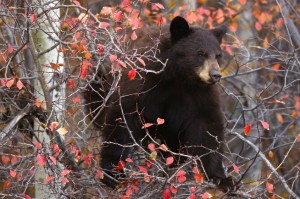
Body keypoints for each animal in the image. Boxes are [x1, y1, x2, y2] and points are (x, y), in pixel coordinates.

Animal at [85, 15, 229, 188]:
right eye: (201, 53)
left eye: (218, 55)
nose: (215, 75)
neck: (179, 77)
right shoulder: (145, 79)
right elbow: (123, 116)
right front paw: (112, 172)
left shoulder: (201, 94)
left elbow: (208, 128)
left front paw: (221, 178)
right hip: (101, 80)